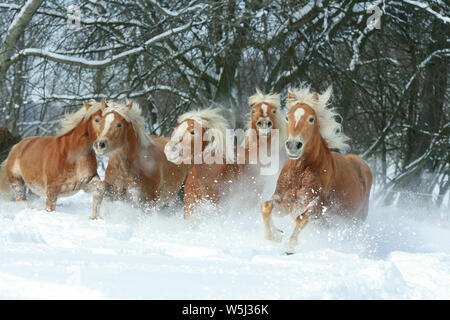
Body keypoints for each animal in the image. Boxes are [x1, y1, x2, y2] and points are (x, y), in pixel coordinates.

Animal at [260, 85, 372, 255]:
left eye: (311, 119)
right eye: (287, 117)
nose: (293, 145)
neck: (300, 171)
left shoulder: (316, 205)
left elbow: (300, 219)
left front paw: (289, 247)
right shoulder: (285, 201)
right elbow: (266, 207)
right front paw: (275, 235)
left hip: (354, 220)